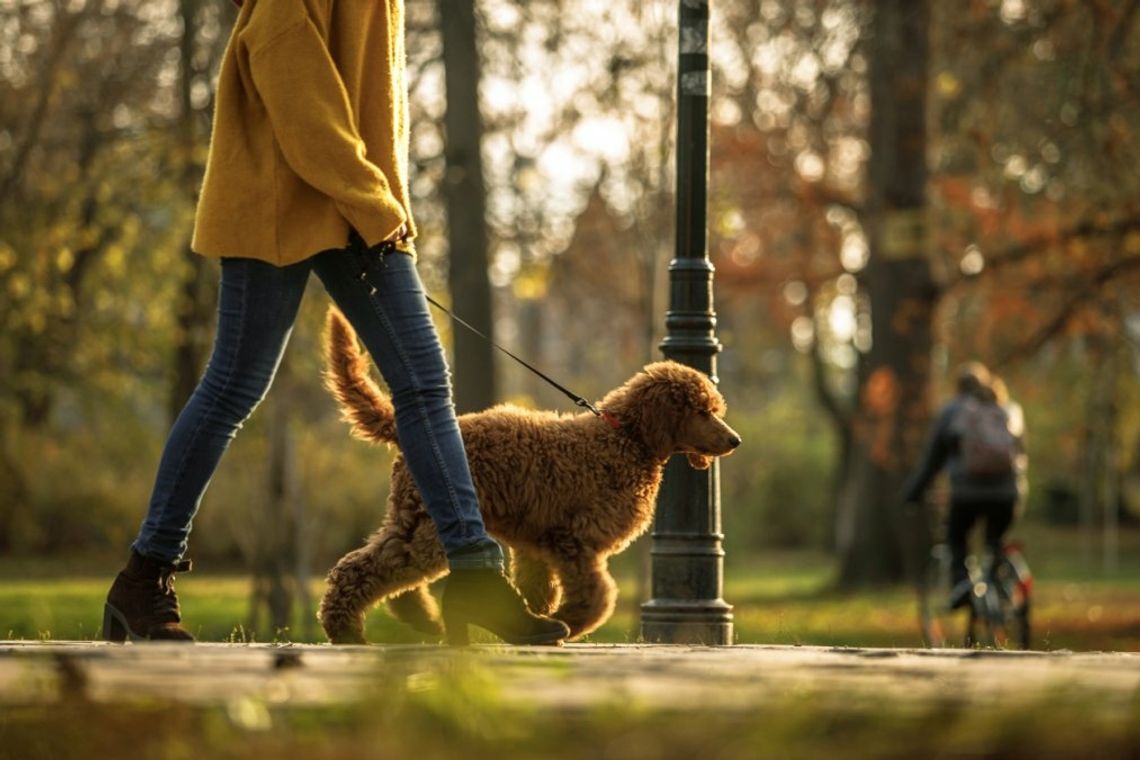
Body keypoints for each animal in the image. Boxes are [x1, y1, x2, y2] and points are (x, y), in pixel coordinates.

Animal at [316, 305, 743, 647]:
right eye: (702, 411)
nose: (735, 441)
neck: (624, 437)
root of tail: (400, 426)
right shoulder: (573, 539)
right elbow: (597, 595)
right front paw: (569, 622)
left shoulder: (537, 544)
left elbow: (540, 589)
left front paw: (534, 622)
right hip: (429, 525)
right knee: (366, 568)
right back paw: (347, 630)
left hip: (414, 518)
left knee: (389, 568)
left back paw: (422, 620)